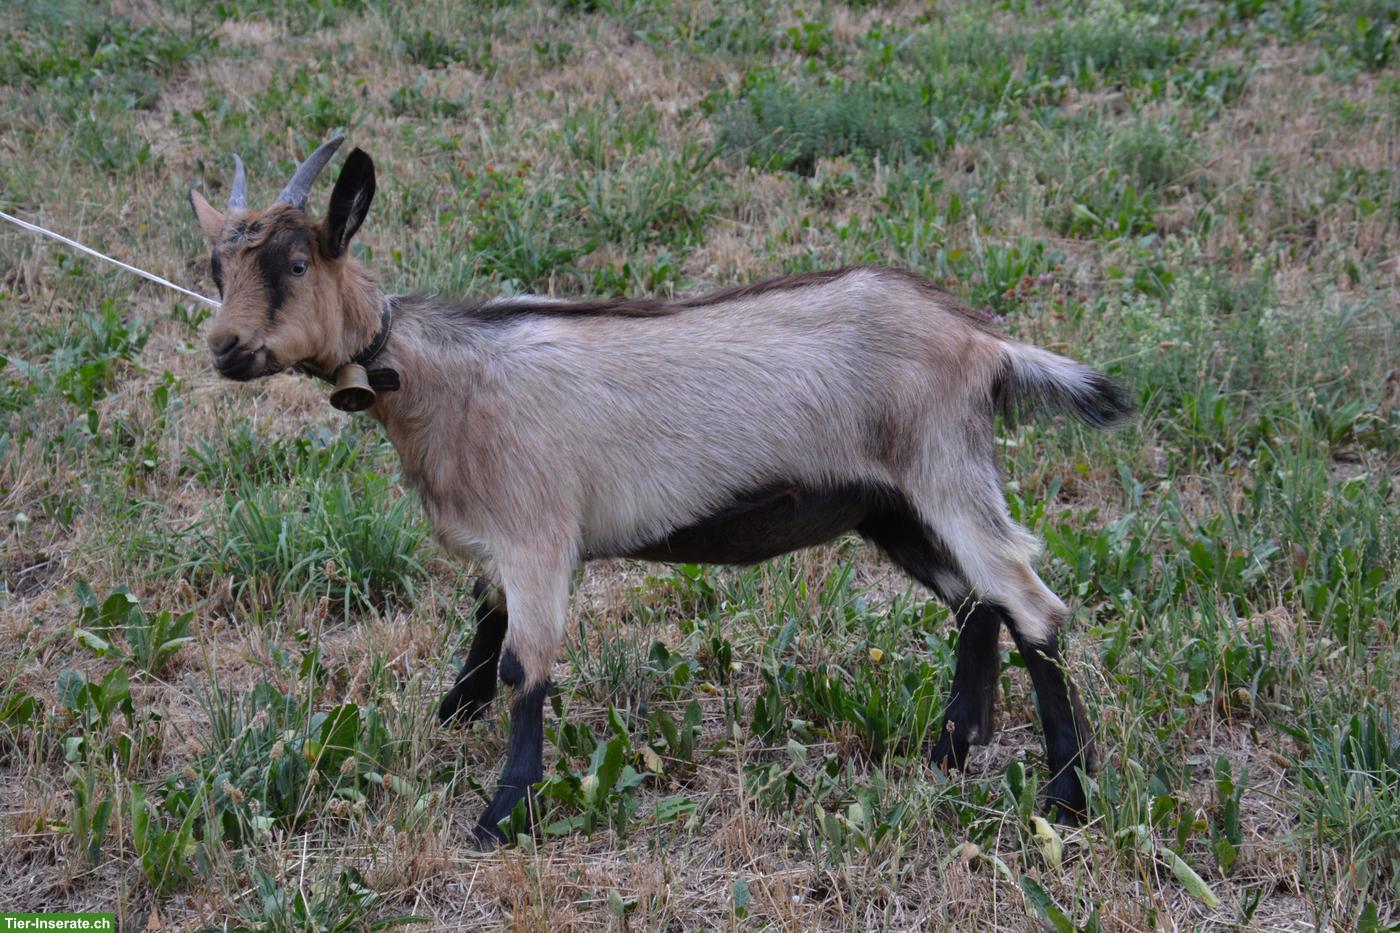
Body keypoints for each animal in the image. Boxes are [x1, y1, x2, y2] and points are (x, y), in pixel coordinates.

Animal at [188, 136, 1131, 846]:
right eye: (215, 268)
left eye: (296, 260)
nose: (225, 348)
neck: (437, 375)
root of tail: (984, 342)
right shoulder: (505, 540)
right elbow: (485, 617)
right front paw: (452, 712)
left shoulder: (538, 532)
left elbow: (525, 663)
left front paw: (501, 814)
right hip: (888, 503)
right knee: (975, 599)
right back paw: (952, 746)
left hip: (944, 467)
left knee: (1029, 600)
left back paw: (1066, 796)